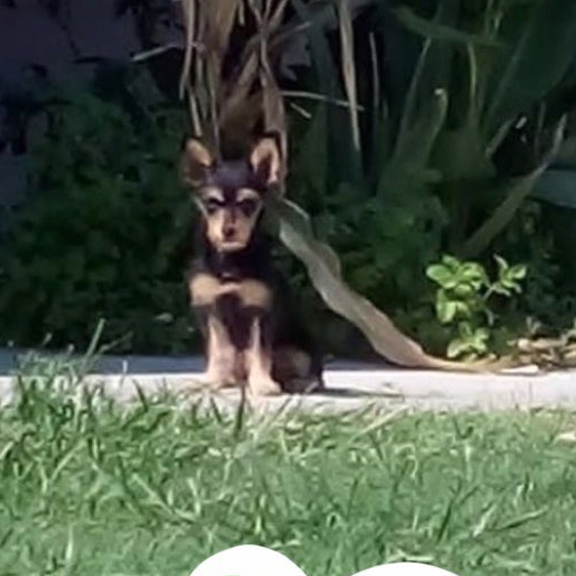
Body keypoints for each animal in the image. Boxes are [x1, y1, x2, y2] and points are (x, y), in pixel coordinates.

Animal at [180, 134, 324, 396]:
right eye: (211, 204)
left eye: (247, 204)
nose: (228, 230)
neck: (230, 260)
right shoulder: (210, 308)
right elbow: (219, 349)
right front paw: (213, 379)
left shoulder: (260, 311)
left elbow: (259, 351)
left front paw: (263, 384)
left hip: (298, 350)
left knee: (310, 373)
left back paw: (298, 383)